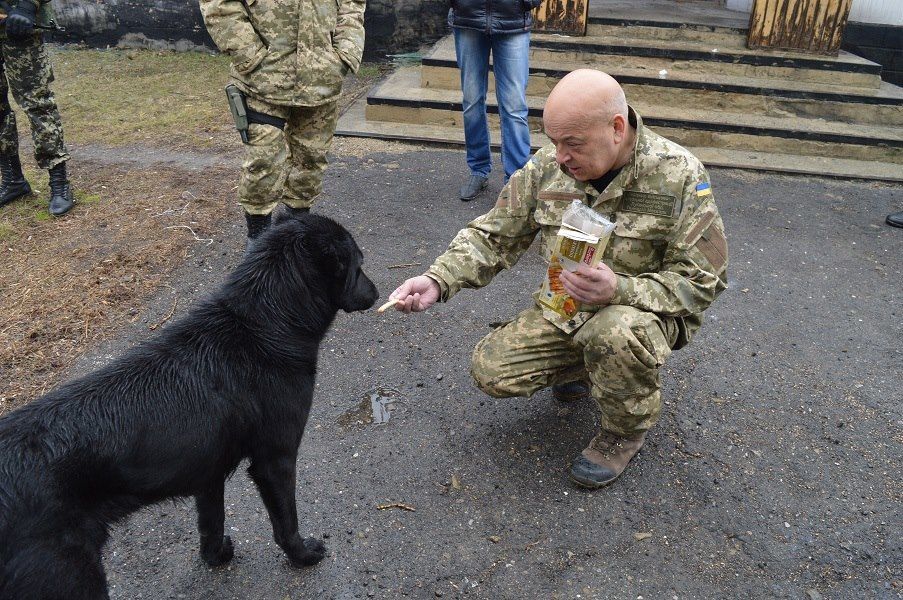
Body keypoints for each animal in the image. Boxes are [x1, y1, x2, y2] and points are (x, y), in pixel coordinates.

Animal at [0, 213, 380, 596]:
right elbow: (285, 522)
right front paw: (302, 555)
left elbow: (211, 524)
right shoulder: (275, 460)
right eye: (358, 264)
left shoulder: (207, 472)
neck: (263, 325)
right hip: (71, 577)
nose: (377, 292)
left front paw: (217, 556)